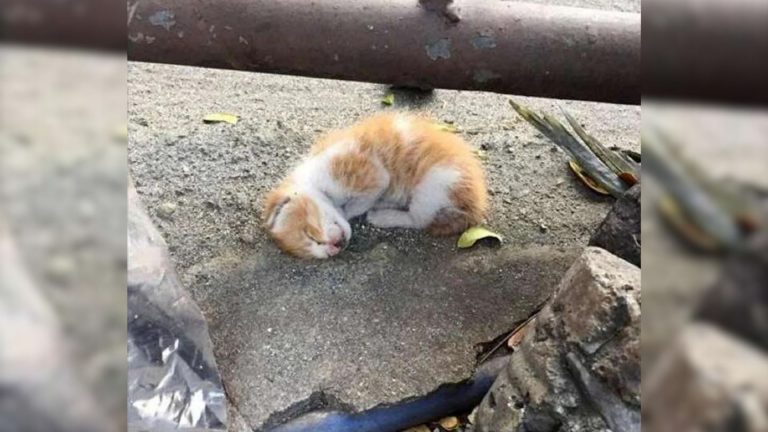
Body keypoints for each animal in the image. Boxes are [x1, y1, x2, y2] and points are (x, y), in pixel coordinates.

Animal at [262, 113, 486, 258]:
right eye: (317, 252)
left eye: (309, 234)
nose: (333, 249)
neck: (311, 179)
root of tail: (475, 206)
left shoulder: (368, 172)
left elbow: (361, 201)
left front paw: (349, 211)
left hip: (434, 184)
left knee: (419, 219)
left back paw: (382, 216)